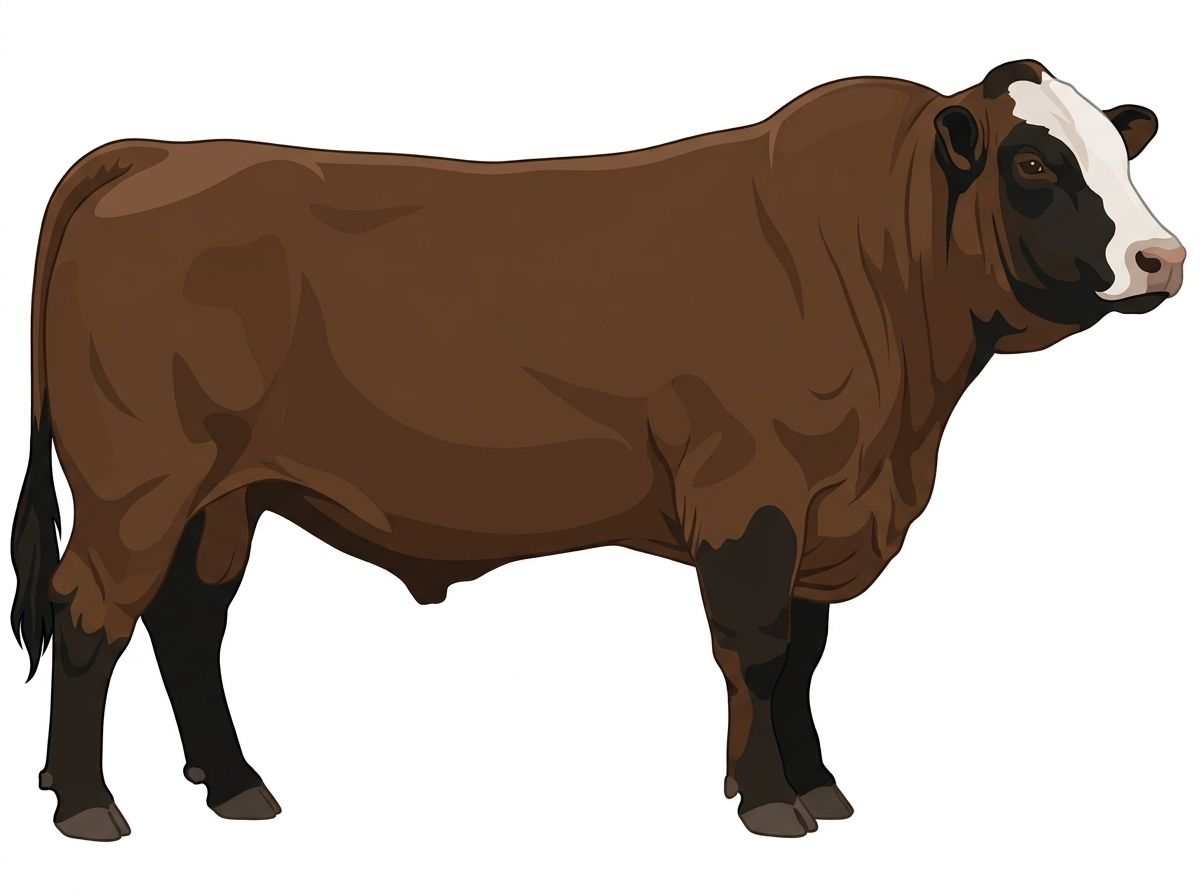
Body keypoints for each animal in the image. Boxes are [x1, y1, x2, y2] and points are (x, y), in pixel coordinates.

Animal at [10, 59, 1184, 841]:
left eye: (1121, 150)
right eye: (1033, 159)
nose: (1161, 256)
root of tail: (160, 153)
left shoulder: (824, 506)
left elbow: (805, 651)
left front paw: (819, 785)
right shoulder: (750, 492)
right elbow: (757, 646)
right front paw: (769, 801)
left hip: (223, 493)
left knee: (187, 620)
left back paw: (234, 784)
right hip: (137, 483)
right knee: (91, 612)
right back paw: (87, 805)